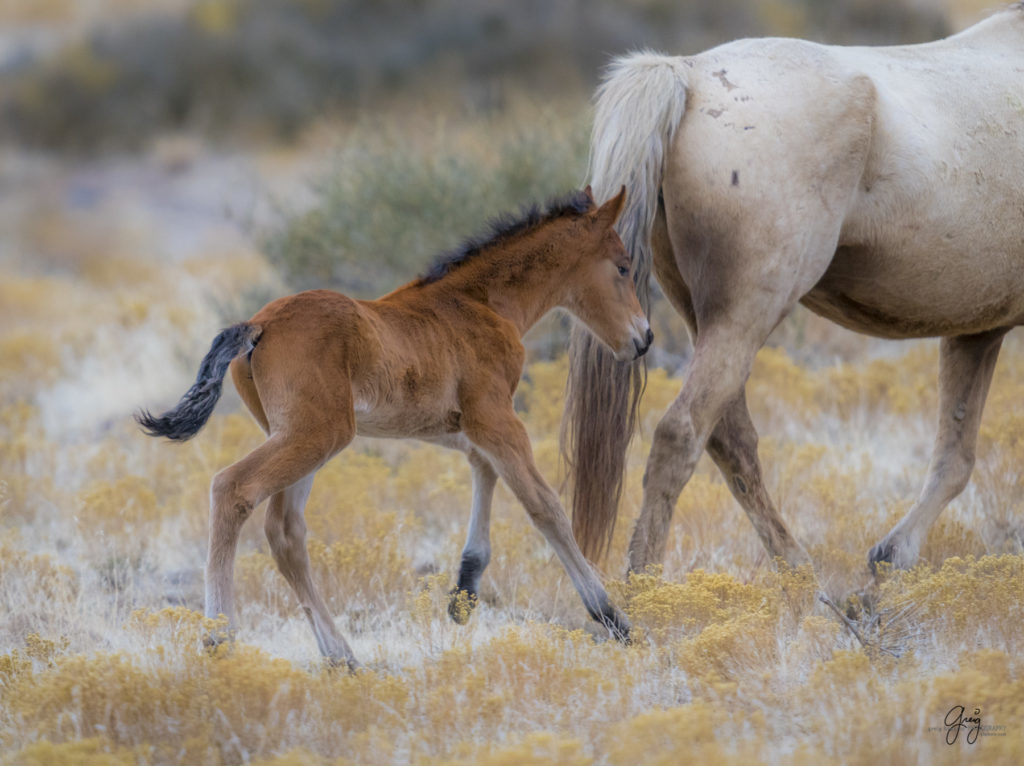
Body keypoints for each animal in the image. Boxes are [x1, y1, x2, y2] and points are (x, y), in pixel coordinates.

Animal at [138, 187, 647, 671]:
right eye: (623, 267)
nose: (644, 338)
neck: (480, 304)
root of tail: (257, 325)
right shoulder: (495, 415)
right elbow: (545, 508)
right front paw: (614, 619)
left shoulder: (458, 426)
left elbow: (485, 471)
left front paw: (464, 591)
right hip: (317, 435)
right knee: (232, 488)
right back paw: (219, 639)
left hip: (295, 436)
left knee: (285, 531)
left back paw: (341, 656)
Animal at [565, 7, 1024, 573]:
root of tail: (689, 74)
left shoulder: (977, 329)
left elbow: (953, 458)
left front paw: (890, 559)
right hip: (745, 317)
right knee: (681, 435)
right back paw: (643, 585)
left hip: (707, 320)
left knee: (730, 440)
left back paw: (805, 578)